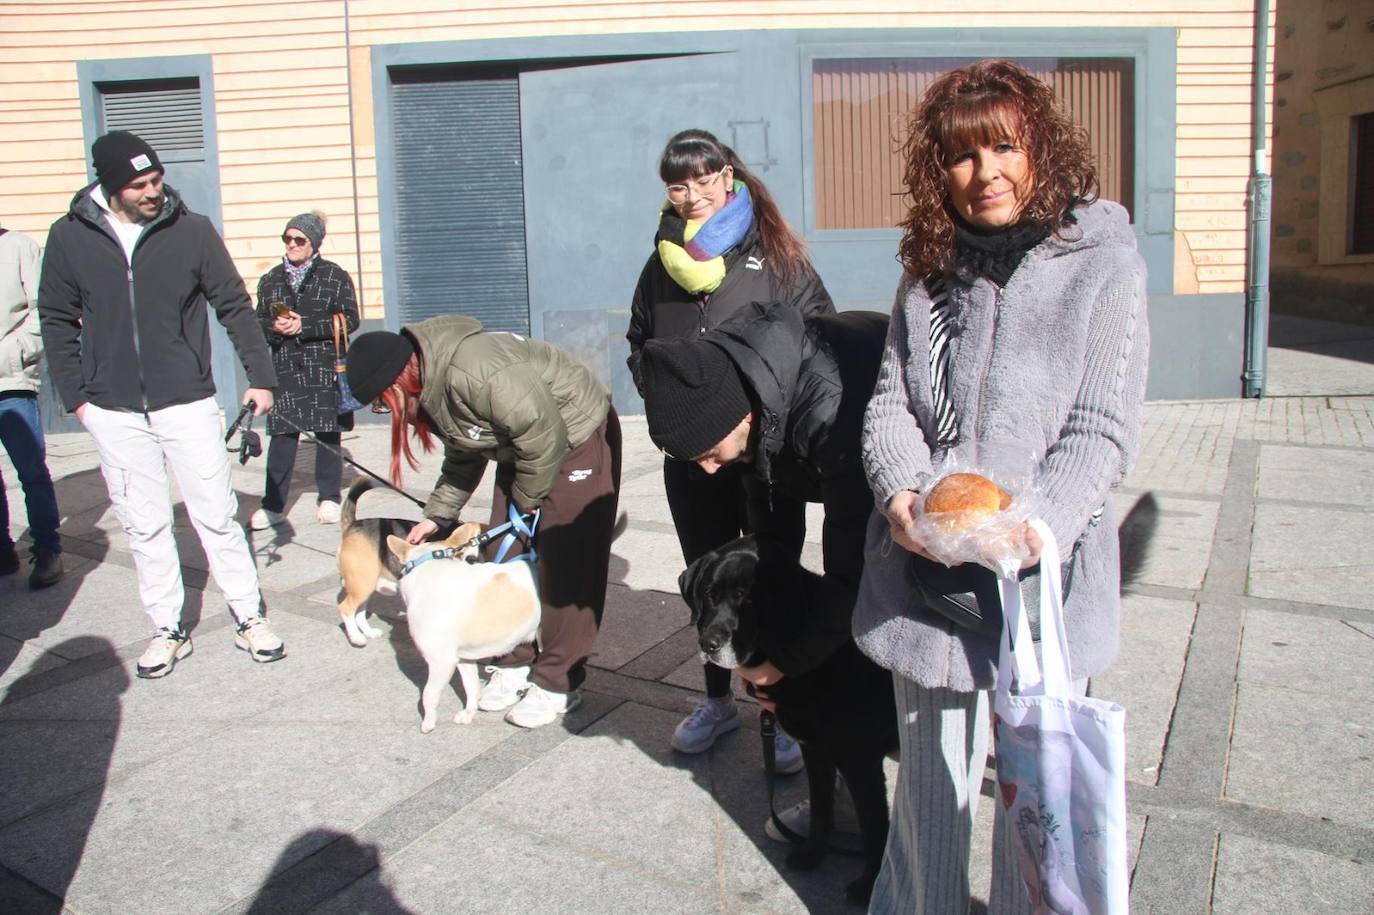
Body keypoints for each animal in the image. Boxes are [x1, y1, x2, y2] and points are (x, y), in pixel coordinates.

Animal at [390, 530, 544, 730]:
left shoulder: (441, 662)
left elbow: (429, 693)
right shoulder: (464, 659)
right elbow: (471, 687)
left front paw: (428, 722)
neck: (432, 566)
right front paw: (469, 713)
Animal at [678, 530, 901, 901]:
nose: (708, 644)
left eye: (748, 600)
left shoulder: (861, 762)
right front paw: (812, 856)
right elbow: (822, 809)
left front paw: (868, 888)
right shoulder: (816, 750)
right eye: (709, 594)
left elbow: (875, 829)